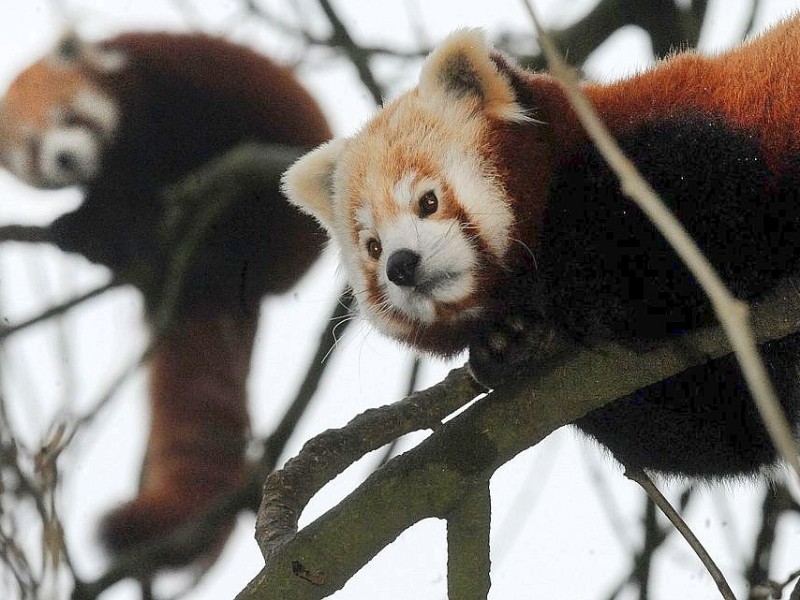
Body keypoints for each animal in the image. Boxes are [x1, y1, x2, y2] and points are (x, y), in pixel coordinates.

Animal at [0, 31, 332, 556]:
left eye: (66, 118)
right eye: (33, 148)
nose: (64, 158)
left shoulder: (173, 89)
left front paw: (128, 209)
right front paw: (81, 225)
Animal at [286, 16, 800, 480]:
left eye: (427, 202)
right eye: (372, 247)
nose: (401, 265)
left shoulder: (678, 151)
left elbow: (720, 227)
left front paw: (584, 299)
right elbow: (728, 427)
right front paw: (505, 345)